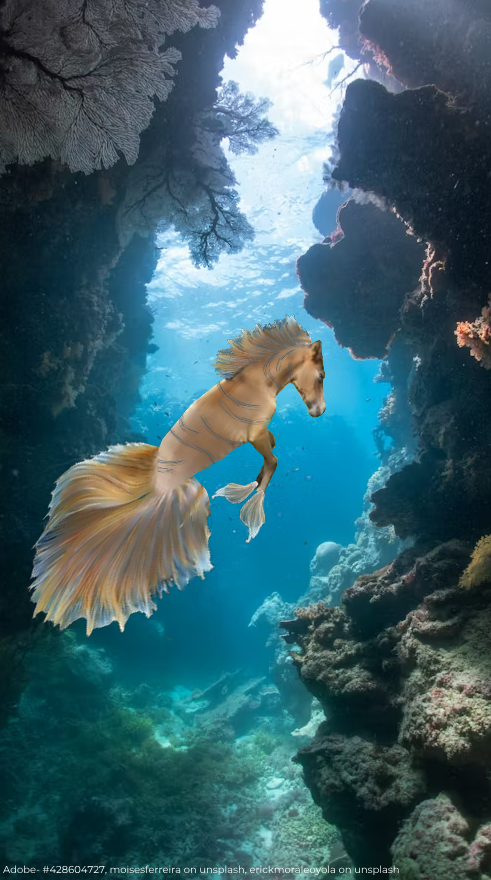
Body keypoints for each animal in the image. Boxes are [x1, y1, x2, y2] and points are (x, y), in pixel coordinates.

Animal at [30, 316, 326, 634]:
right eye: (321, 375)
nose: (320, 411)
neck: (263, 380)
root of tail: (159, 490)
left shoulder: (260, 435)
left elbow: (272, 452)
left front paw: (245, 490)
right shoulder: (255, 434)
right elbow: (272, 462)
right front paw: (248, 505)